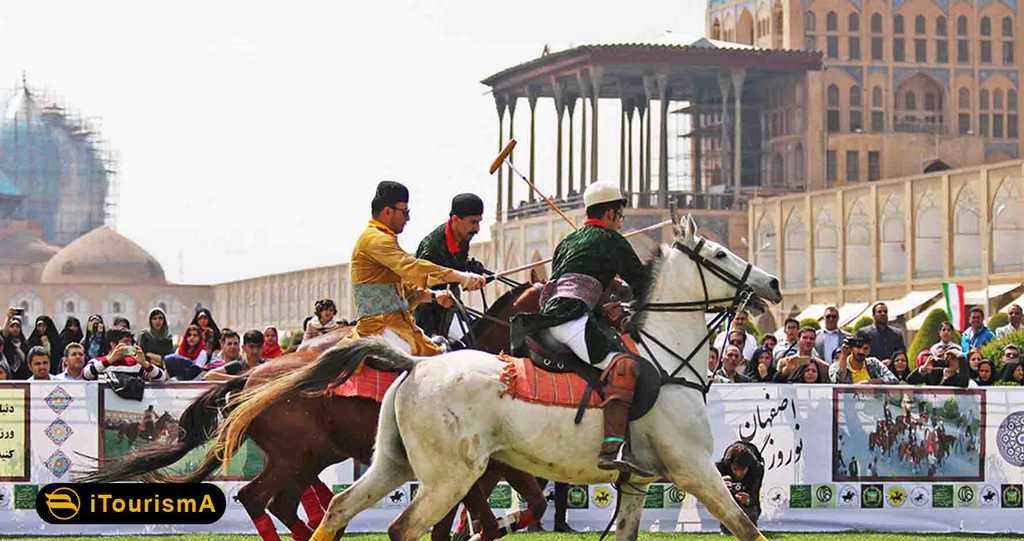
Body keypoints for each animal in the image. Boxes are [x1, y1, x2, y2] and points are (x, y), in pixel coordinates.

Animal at [79, 282, 544, 541]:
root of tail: (251, 379)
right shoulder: (475, 469)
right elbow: (488, 519)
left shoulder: (487, 468)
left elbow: (514, 510)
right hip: (298, 454)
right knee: (260, 498)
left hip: (309, 455)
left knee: (283, 502)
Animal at [226, 217, 782, 541]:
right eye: (718, 254)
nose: (773, 283)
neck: (668, 364)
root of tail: (415, 365)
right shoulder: (695, 469)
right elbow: (745, 528)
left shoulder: (636, 484)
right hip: (439, 473)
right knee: (395, 525)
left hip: (391, 463)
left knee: (336, 509)